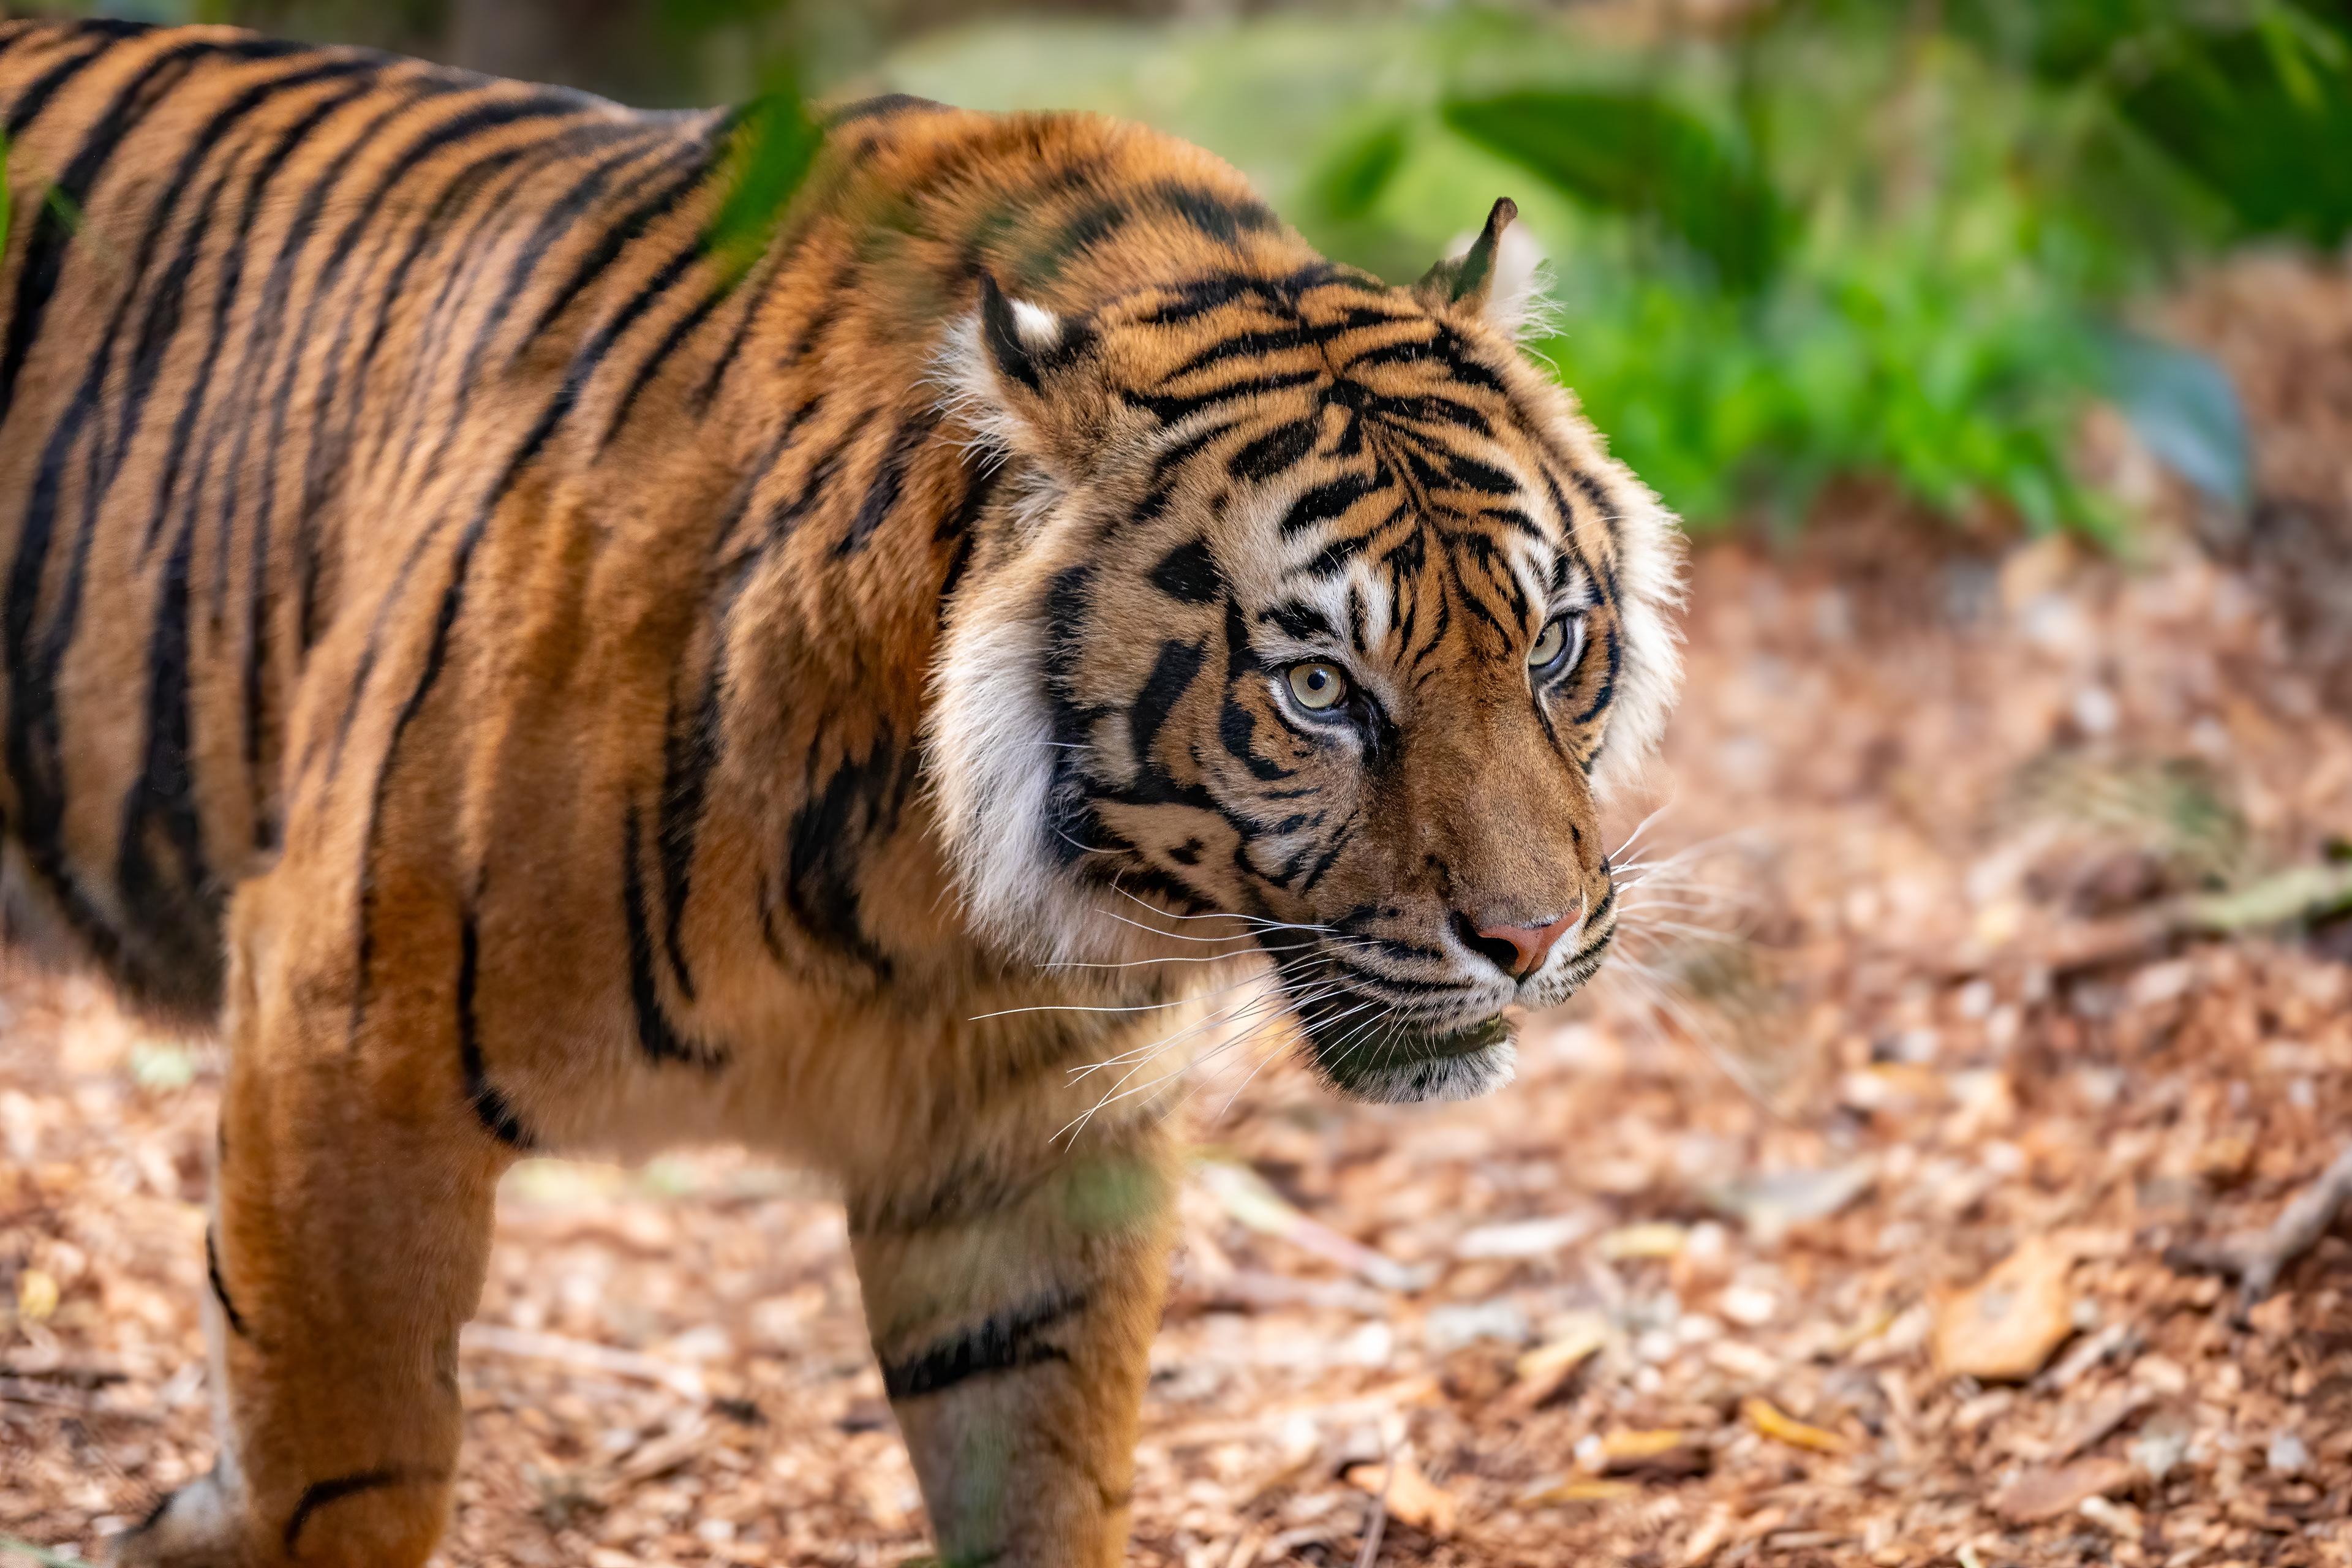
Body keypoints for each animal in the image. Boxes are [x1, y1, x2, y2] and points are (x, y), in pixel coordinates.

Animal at [0, 17, 1682, 1567]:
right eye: (1319, 686)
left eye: (1551, 642)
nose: (1531, 939)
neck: (941, 902)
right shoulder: (344, 1040)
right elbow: (344, 1467)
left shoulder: (1024, 1162)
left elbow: (1043, 1485)